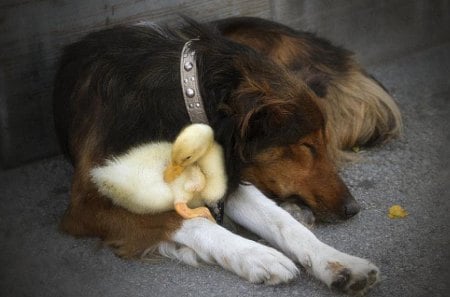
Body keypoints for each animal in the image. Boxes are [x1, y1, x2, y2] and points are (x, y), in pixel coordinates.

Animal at [52, 16, 400, 294]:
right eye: (306, 147)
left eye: (316, 145)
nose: (353, 209)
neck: (180, 99)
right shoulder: (87, 205)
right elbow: (185, 220)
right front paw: (258, 256)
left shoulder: (228, 173)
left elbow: (280, 223)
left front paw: (341, 263)